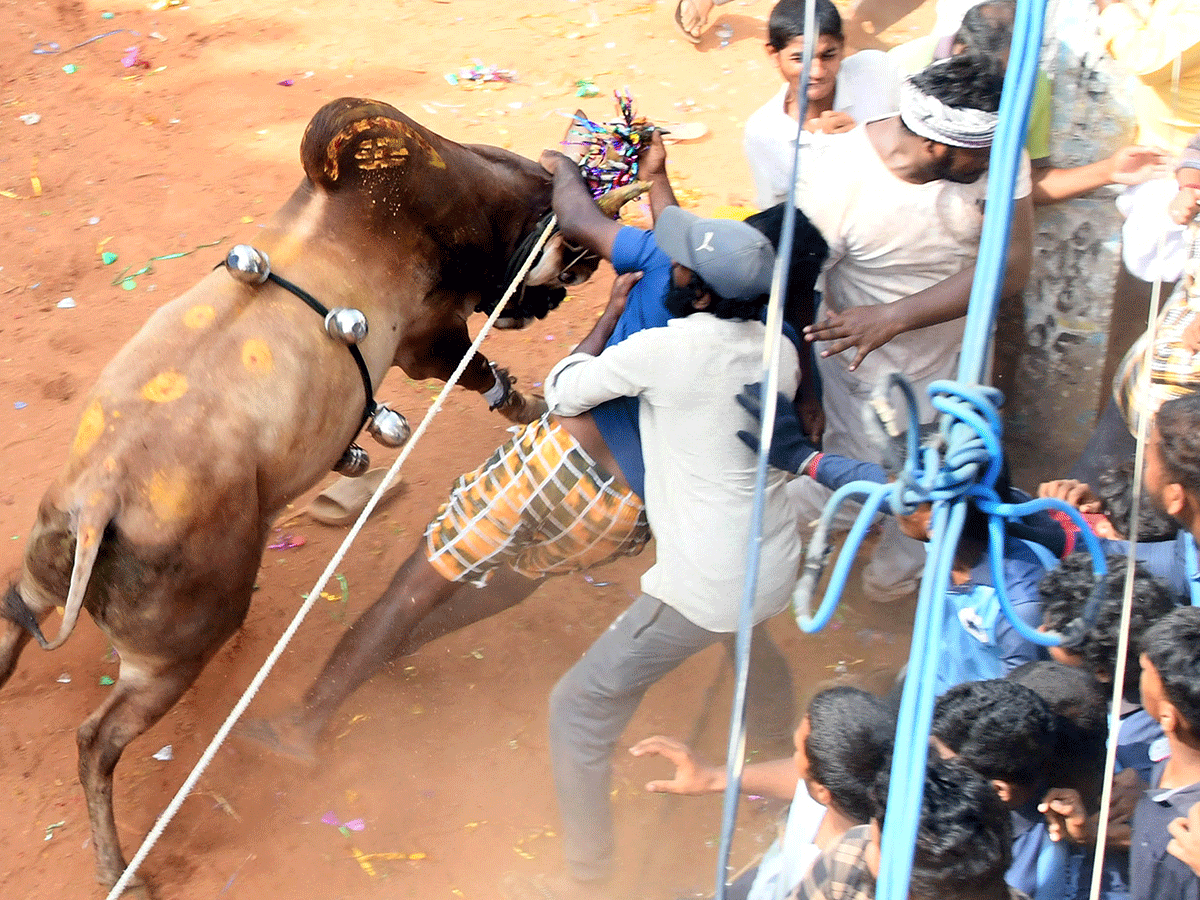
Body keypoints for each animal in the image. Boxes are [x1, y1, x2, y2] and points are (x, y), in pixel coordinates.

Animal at [0, 98, 638, 897]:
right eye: (569, 252)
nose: (563, 287)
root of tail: (99, 499)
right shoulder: (430, 339)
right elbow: (480, 370)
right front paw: (525, 401)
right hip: (169, 659)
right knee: (96, 740)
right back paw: (121, 868)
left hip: (44, 574)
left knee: (12, 620)